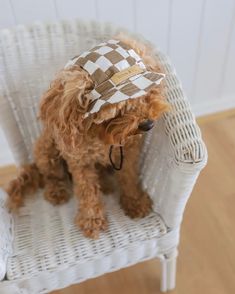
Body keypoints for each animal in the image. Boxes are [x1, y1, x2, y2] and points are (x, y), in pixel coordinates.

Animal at [5, 34, 169, 239]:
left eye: (144, 94)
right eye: (119, 109)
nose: (148, 125)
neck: (102, 134)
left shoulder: (129, 153)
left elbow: (129, 177)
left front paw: (135, 202)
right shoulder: (80, 162)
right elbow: (87, 192)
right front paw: (92, 220)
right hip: (46, 149)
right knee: (52, 176)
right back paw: (57, 191)